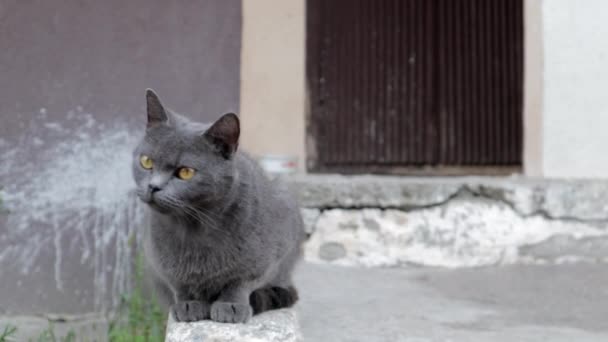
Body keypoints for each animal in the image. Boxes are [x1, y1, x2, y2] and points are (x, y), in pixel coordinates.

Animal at [131, 89, 306, 324]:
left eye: (185, 172)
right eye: (147, 162)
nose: (153, 186)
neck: (194, 228)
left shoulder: (268, 257)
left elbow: (240, 281)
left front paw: (230, 306)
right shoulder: (158, 260)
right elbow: (179, 282)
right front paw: (189, 304)